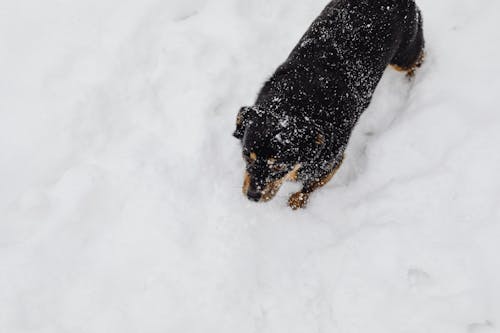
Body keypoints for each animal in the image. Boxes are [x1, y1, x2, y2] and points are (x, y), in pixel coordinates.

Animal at [234, 0, 426, 208]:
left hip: (404, 55)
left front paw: (298, 200)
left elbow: (310, 185)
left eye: (278, 165)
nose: (252, 196)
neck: (293, 102)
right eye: (246, 156)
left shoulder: (331, 163)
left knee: (419, 58)